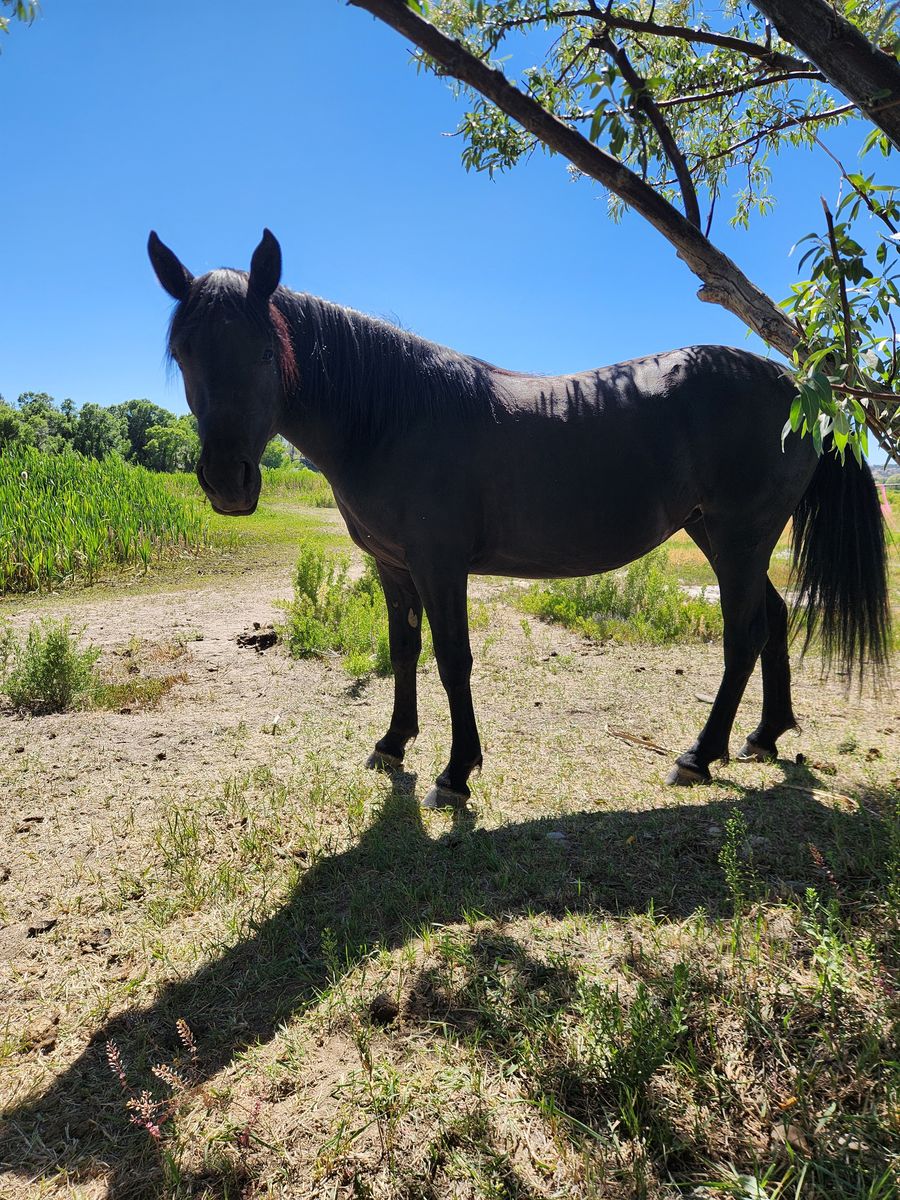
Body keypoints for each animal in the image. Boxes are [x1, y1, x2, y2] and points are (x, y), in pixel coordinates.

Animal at [148, 229, 890, 809]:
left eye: (265, 352)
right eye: (183, 355)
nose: (227, 482)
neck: (392, 417)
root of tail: (799, 387)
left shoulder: (440, 564)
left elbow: (453, 658)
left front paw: (456, 772)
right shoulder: (393, 566)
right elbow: (404, 650)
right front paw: (394, 743)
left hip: (739, 536)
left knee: (744, 635)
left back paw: (699, 756)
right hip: (718, 533)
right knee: (774, 621)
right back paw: (765, 736)